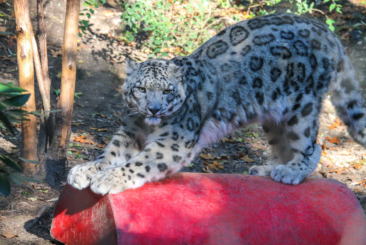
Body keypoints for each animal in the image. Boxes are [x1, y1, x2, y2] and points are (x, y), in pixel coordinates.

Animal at [68, 13, 366, 194]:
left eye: (167, 91)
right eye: (141, 89)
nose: (154, 109)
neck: (147, 125)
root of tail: (325, 30)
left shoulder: (174, 140)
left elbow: (140, 162)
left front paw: (109, 178)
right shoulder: (130, 129)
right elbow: (111, 153)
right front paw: (85, 170)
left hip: (301, 108)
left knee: (311, 146)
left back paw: (290, 171)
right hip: (273, 116)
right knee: (284, 145)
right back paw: (266, 169)